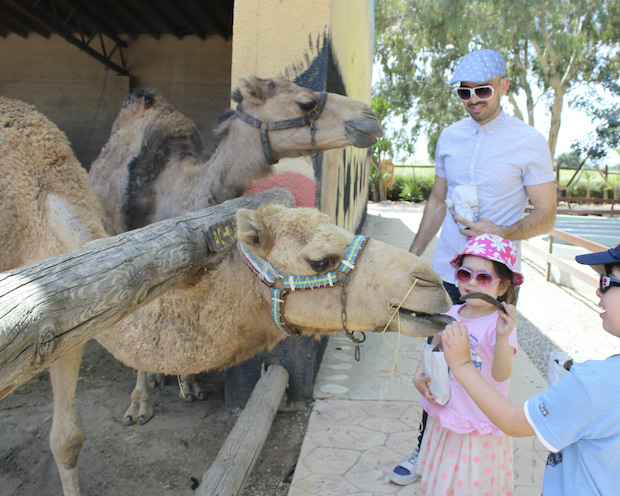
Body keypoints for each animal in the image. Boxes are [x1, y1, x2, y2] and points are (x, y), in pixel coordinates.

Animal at [88, 73, 388, 404]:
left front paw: (191, 385)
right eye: (305, 103)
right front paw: (139, 403)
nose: (370, 119)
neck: (182, 194)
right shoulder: (146, 266)